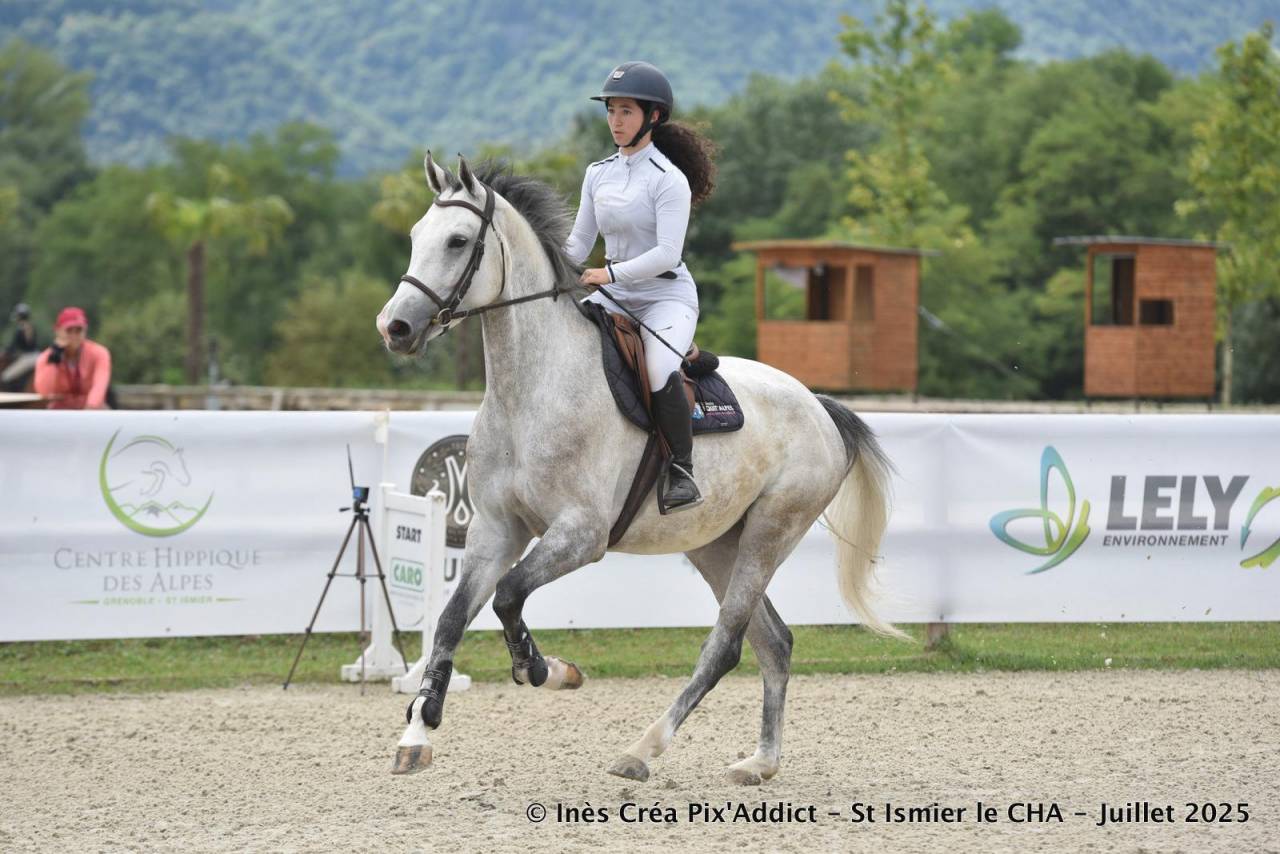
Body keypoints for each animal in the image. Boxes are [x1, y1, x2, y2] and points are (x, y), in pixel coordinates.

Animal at [376, 154, 902, 785]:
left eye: (457, 241)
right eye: (414, 237)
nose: (395, 328)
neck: (530, 390)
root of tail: (818, 405)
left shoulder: (581, 534)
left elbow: (507, 595)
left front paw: (545, 669)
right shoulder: (496, 529)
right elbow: (453, 618)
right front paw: (417, 729)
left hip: (771, 533)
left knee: (726, 645)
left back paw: (643, 749)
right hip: (717, 544)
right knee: (773, 642)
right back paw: (760, 763)